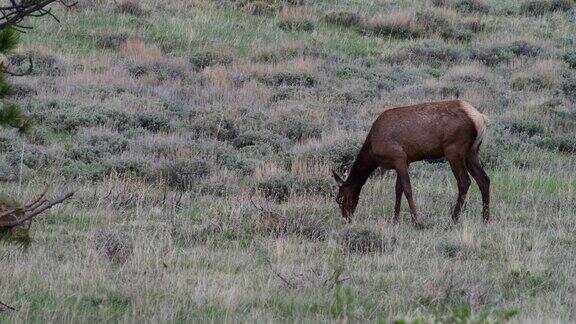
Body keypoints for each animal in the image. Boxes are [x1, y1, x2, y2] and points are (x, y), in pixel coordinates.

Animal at [332, 100, 490, 227]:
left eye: (340, 199)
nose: (346, 219)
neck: (372, 150)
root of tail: (480, 118)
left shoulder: (398, 157)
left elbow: (407, 188)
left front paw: (416, 221)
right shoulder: (405, 161)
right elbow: (398, 189)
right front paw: (395, 219)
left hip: (454, 150)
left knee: (464, 182)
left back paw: (454, 218)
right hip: (472, 152)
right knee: (484, 179)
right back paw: (486, 218)